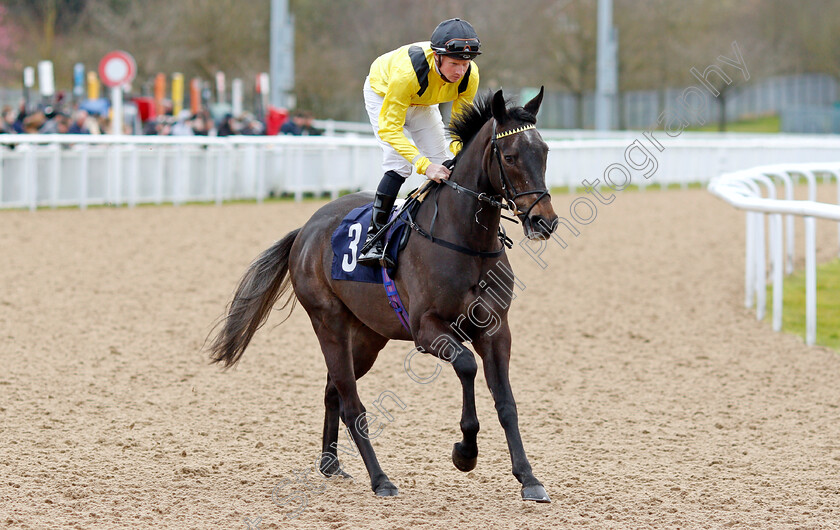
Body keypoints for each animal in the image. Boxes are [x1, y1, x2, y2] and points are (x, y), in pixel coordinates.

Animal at [210, 88, 560, 502]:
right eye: (509, 156)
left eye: (544, 151)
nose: (544, 221)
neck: (465, 242)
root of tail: (306, 229)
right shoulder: (427, 329)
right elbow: (466, 367)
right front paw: (465, 452)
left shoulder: (496, 329)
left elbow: (506, 402)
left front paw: (529, 478)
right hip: (328, 322)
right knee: (351, 403)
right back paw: (380, 479)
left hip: (368, 336)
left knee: (333, 389)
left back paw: (331, 463)